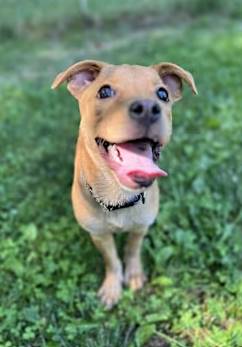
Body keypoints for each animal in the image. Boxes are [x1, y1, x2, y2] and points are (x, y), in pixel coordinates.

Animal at [51, 60, 197, 310]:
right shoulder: (98, 234)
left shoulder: (141, 226)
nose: (148, 108)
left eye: (163, 94)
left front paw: (134, 275)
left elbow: (132, 250)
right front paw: (112, 286)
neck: (118, 195)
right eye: (104, 91)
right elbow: (111, 260)